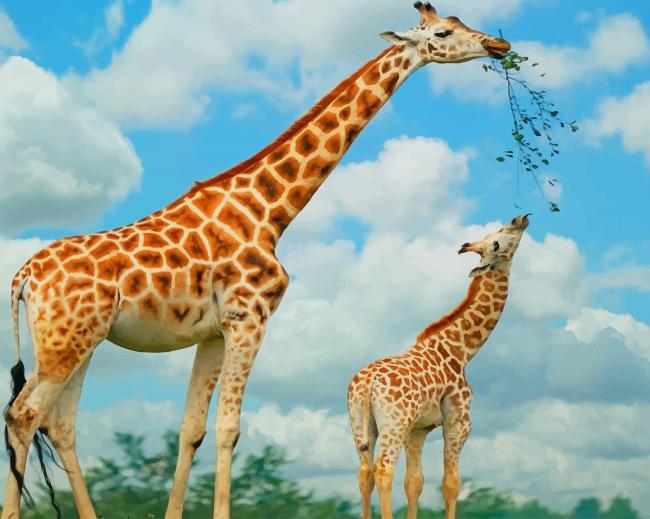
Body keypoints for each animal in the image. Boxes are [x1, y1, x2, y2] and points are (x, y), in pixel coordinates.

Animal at [2, 3, 511, 518]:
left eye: (460, 22)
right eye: (443, 33)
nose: (498, 45)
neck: (270, 212)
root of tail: (23, 278)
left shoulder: (213, 332)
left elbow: (191, 429)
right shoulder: (249, 318)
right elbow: (229, 428)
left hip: (81, 340)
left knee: (58, 422)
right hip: (67, 341)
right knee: (24, 413)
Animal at [347, 215, 530, 519]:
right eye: (496, 240)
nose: (520, 219)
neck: (462, 350)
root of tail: (367, 384)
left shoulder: (418, 429)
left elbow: (414, 482)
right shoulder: (458, 422)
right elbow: (451, 483)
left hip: (361, 424)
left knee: (365, 473)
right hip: (393, 424)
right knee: (384, 469)